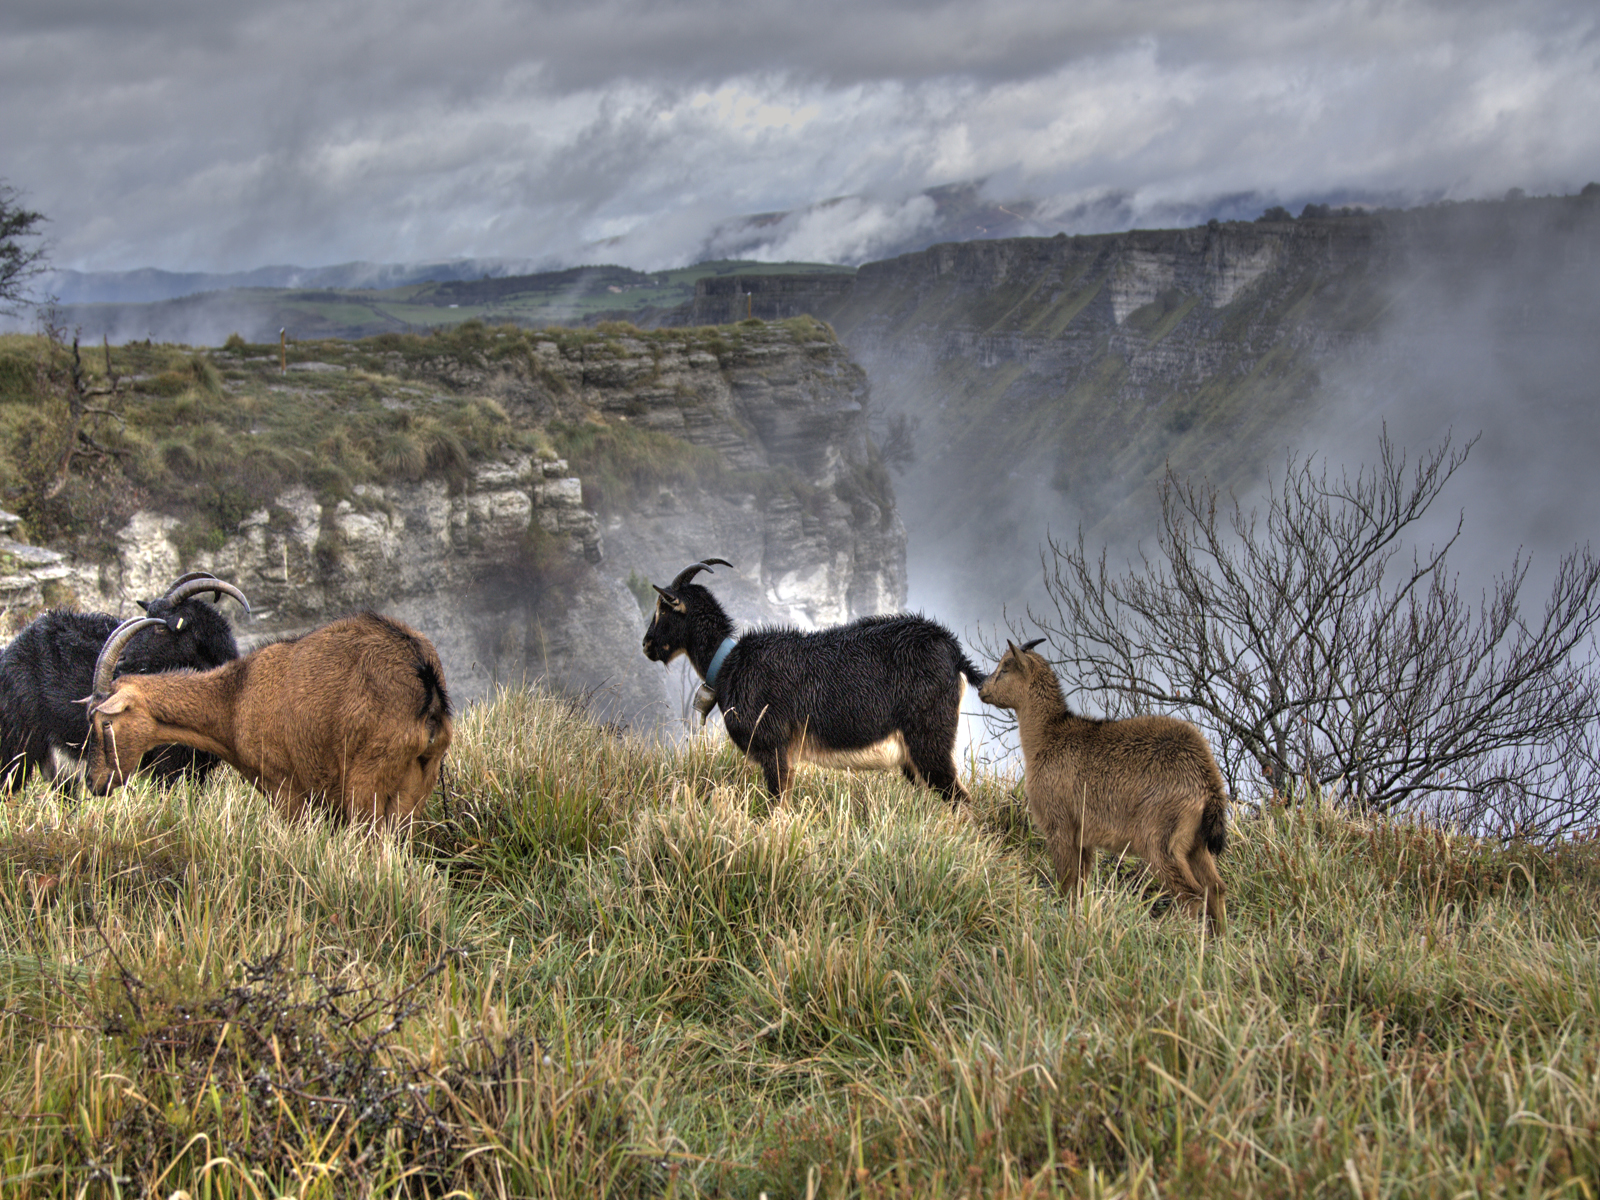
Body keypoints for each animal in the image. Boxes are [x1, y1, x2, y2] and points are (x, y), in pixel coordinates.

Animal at [83, 611, 452, 826]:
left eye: (104, 723)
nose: (95, 782)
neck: (233, 699)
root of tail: (424, 680)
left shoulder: (285, 789)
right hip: (416, 785)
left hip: (367, 781)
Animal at [642, 558, 986, 802]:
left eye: (662, 607)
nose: (646, 645)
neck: (728, 662)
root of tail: (953, 650)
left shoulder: (775, 749)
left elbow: (777, 805)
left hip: (930, 740)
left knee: (960, 800)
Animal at [978, 639, 1229, 934]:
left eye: (1005, 668)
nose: (981, 689)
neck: (1048, 737)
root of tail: (1207, 779)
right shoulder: (1084, 837)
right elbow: (1081, 885)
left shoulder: (1059, 825)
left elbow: (1066, 883)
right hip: (1196, 844)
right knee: (1216, 888)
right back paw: (1219, 941)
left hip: (1161, 839)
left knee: (1191, 893)